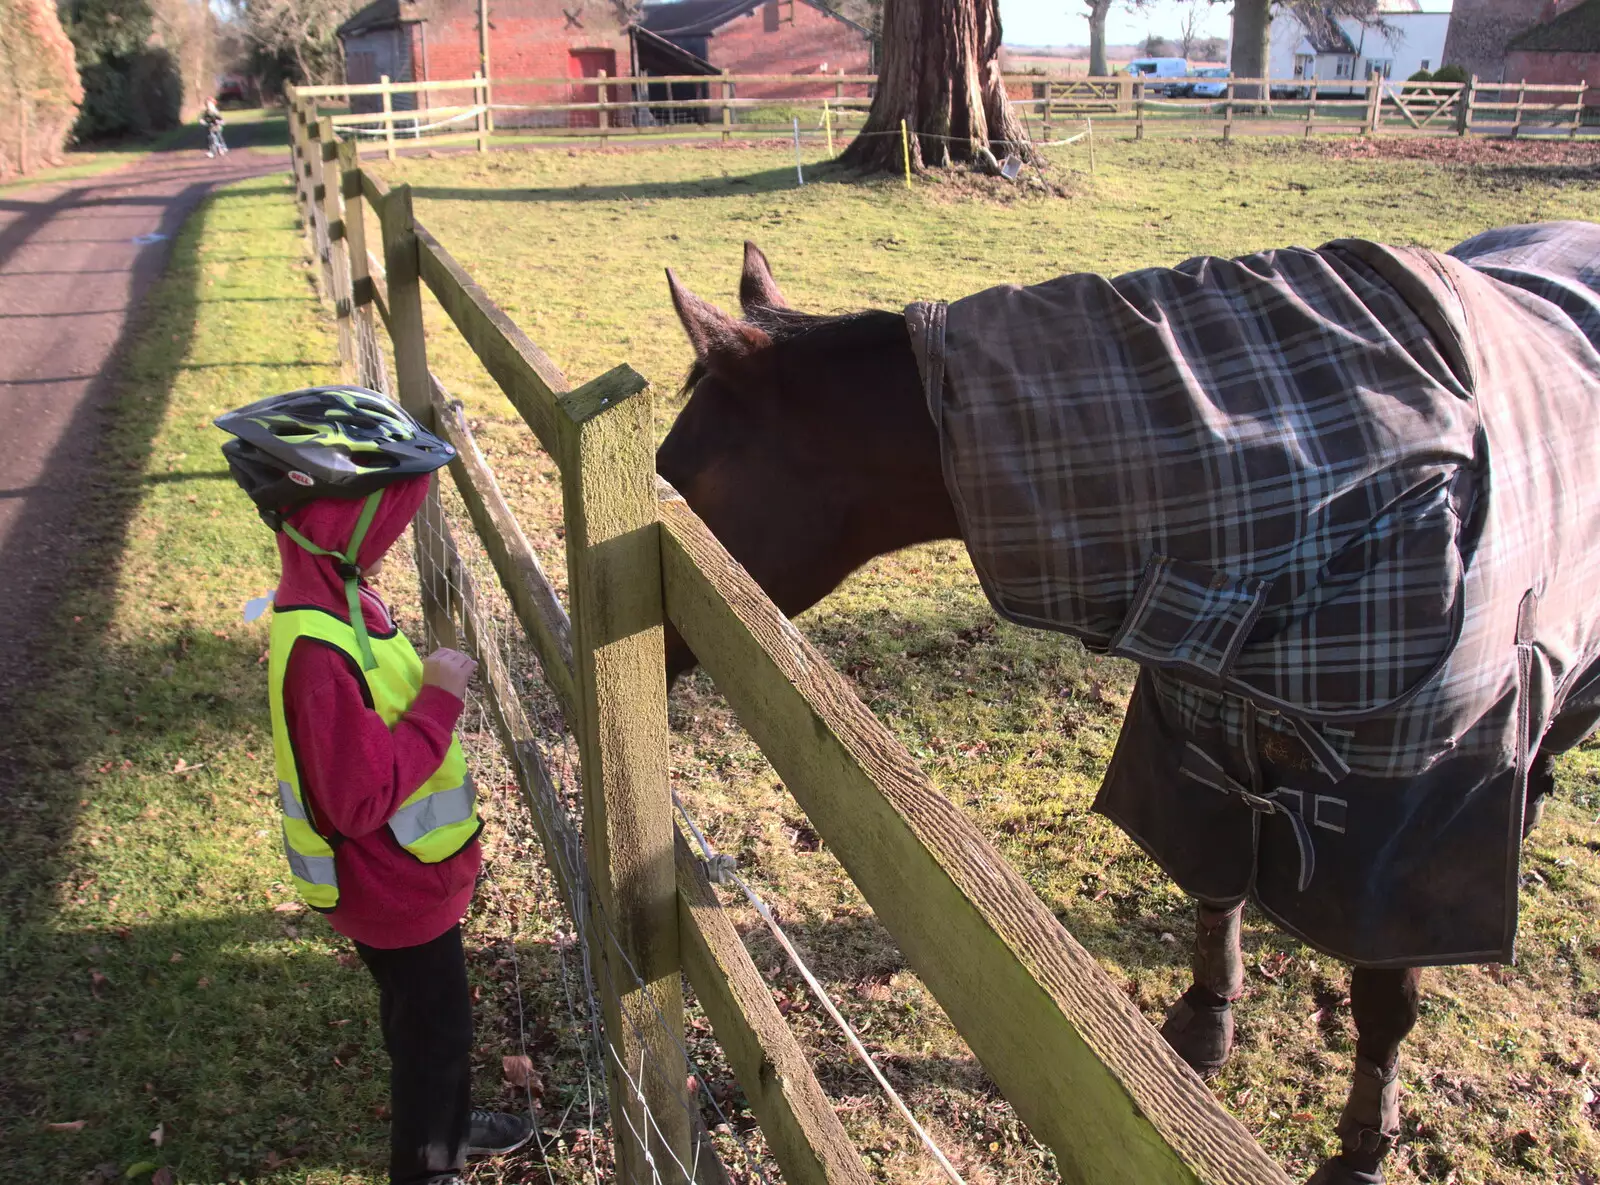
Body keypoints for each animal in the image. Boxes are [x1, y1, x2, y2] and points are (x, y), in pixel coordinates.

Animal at [659, 227, 1600, 1177]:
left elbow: (1385, 990)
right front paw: (1203, 1024)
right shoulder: (1197, 735)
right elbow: (1215, 878)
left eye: (678, 476)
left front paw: (1364, 1145)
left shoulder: (1406, 818)